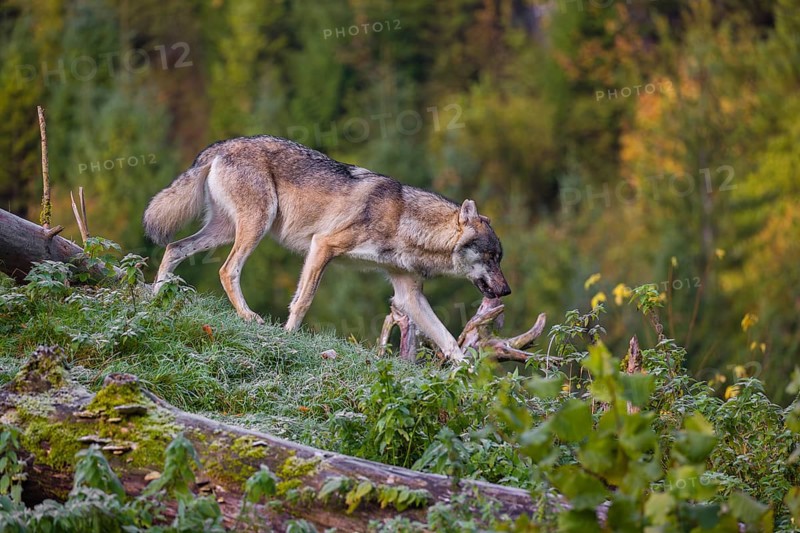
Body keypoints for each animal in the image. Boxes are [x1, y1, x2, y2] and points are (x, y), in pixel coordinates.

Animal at [143, 135, 510, 361]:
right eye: (491, 257)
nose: (506, 291)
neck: (406, 221)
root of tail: (221, 145)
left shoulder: (408, 295)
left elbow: (448, 340)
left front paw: (469, 377)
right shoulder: (323, 245)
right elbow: (303, 301)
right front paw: (288, 336)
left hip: (224, 231)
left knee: (174, 248)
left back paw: (156, 297)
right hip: (254, 227)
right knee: (225, 269)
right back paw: (248, 316)